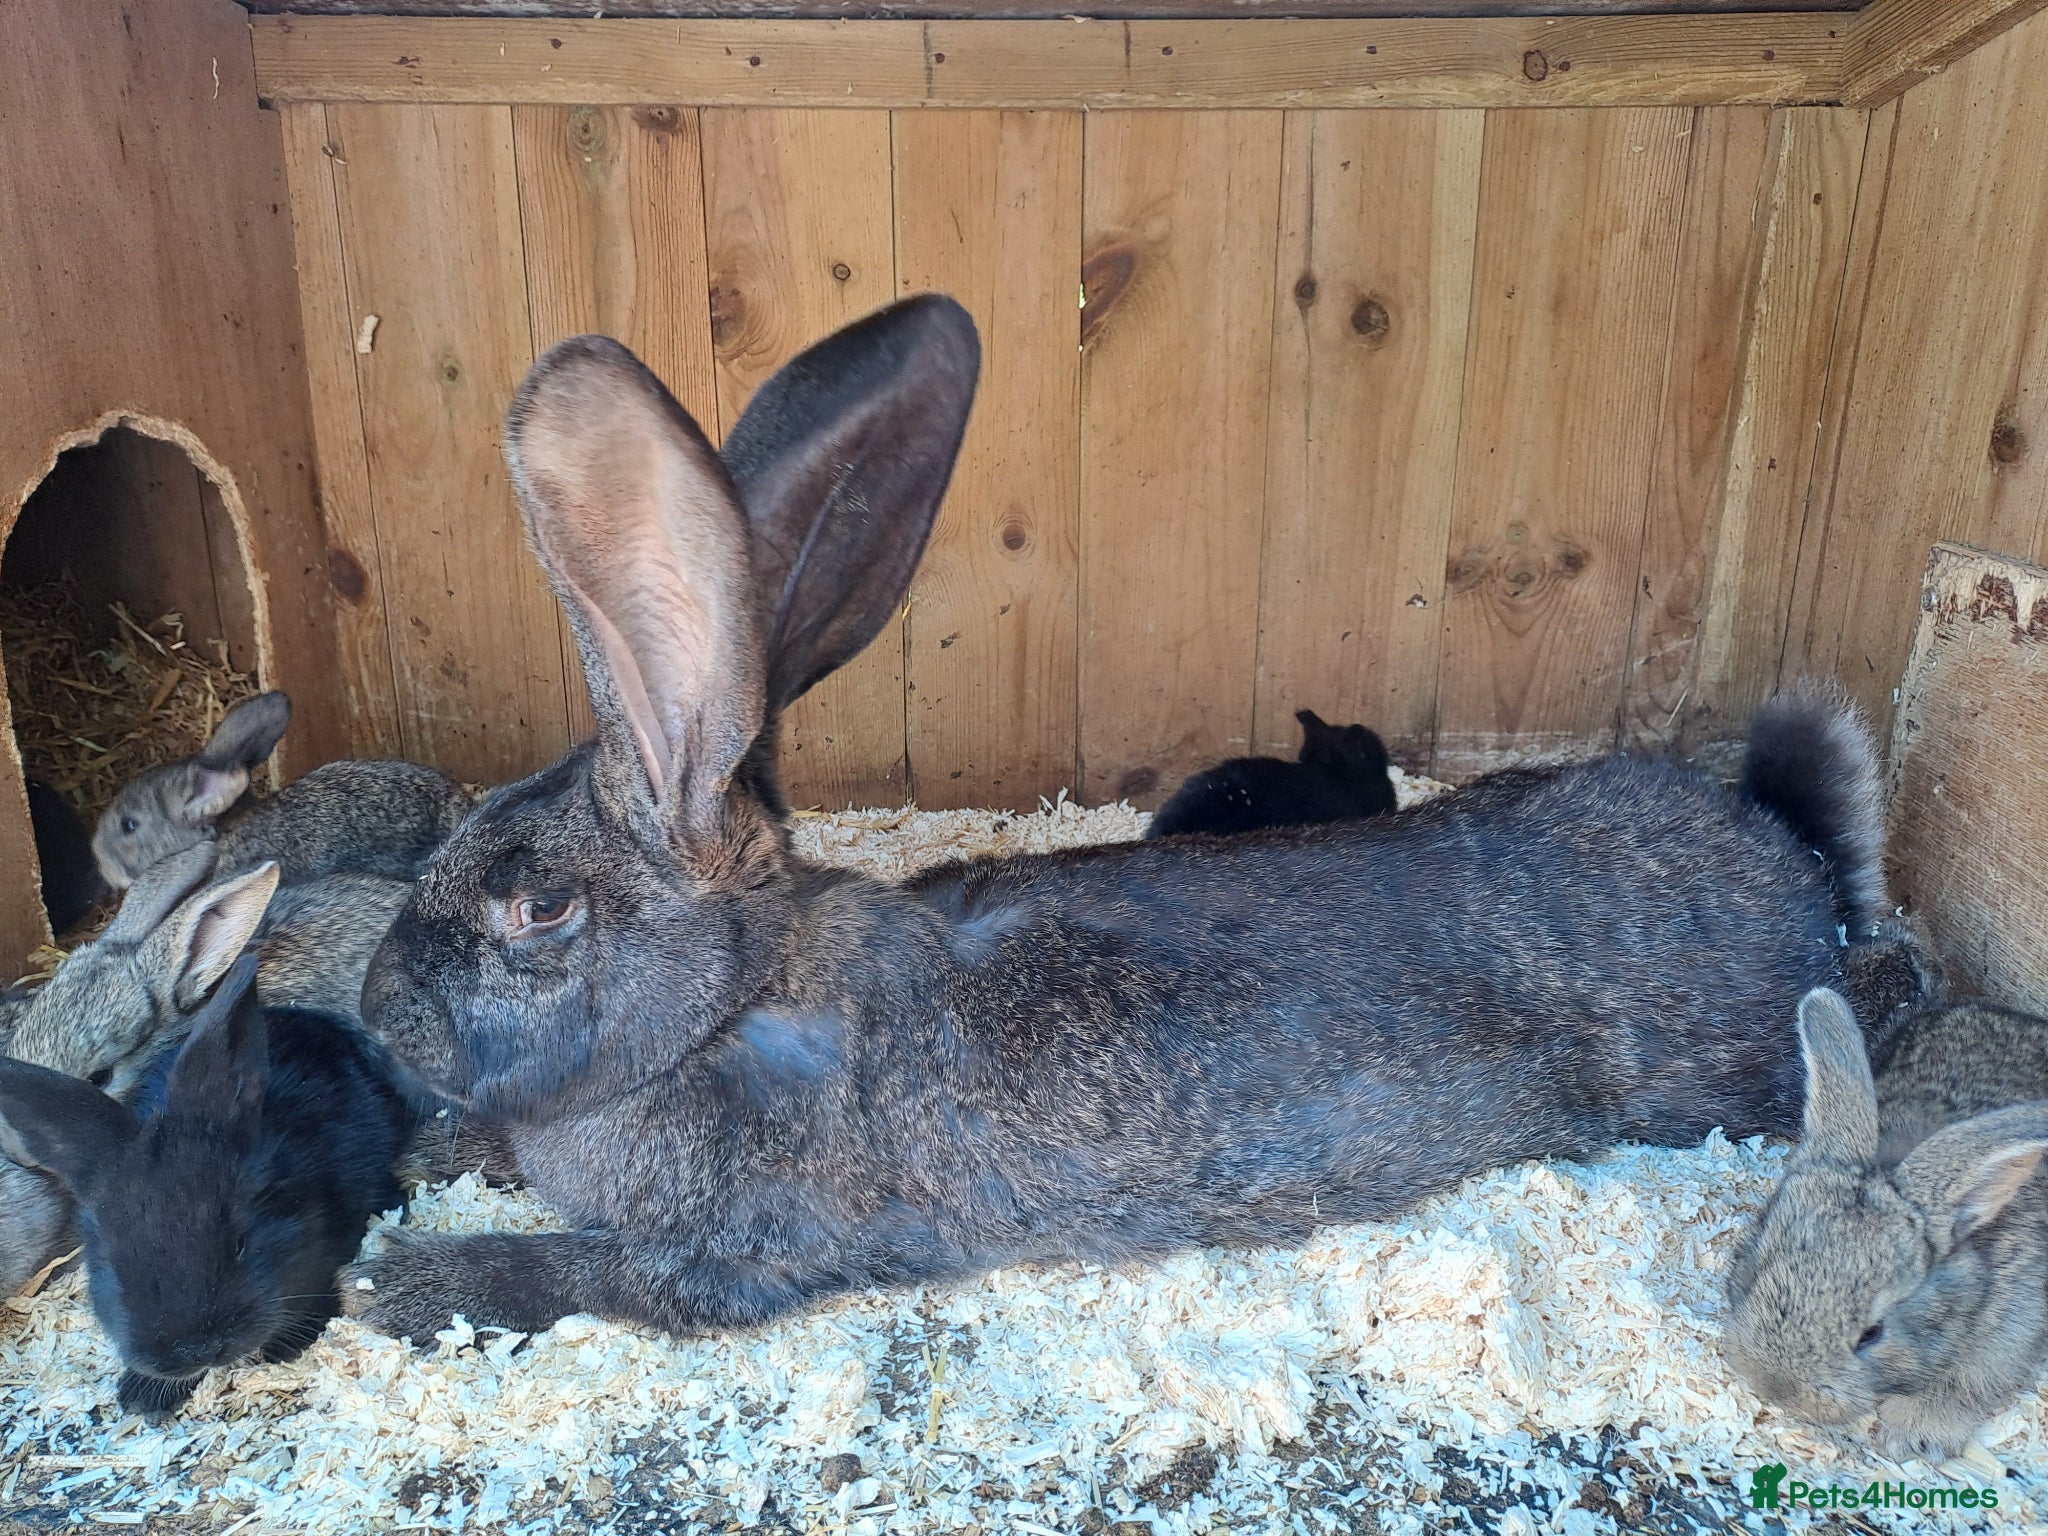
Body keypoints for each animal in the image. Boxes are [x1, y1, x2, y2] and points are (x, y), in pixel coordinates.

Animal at [1722, 988, 2048, 1462]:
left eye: (1871, 1335)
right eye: (1753, 1273)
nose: (1778, 1388)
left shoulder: (2010, 1333)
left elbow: (1965, 1386)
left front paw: (1913, 1436)